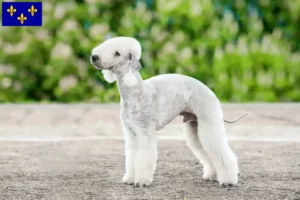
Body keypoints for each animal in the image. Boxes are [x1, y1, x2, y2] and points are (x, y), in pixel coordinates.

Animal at [90, 36, 245, 188]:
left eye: (117, 53)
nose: (94, 57)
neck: (135, 91)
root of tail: (211, 92)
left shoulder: (145, 132)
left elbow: (144, 157)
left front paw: (141, 181)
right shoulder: (131, 133)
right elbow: (132, 156)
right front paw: (129, 179)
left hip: (209, 123)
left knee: (222, 152)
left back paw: (228, 180)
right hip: (195, 127)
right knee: (206, 152)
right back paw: (212, 175)